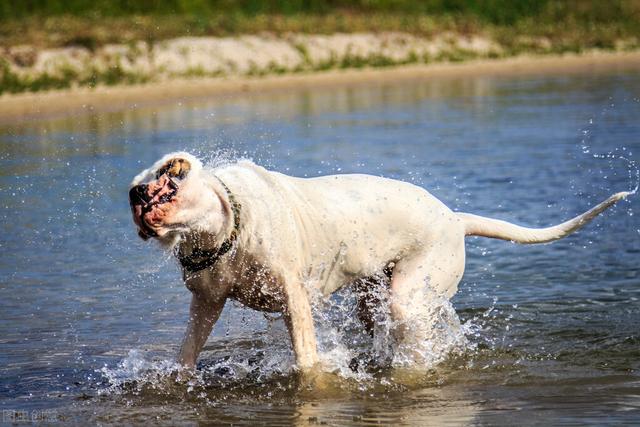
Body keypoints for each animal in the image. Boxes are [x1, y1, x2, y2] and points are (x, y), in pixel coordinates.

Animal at [127, 152, 628, 372]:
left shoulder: (295, 301)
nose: (135, 193)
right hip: (376, 300)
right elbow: (186, 353)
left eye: (165, 179)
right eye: (138, 184)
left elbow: (307, 361)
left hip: (410, 294)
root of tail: (455, 218)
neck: (227, 230)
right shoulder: (206, 303)